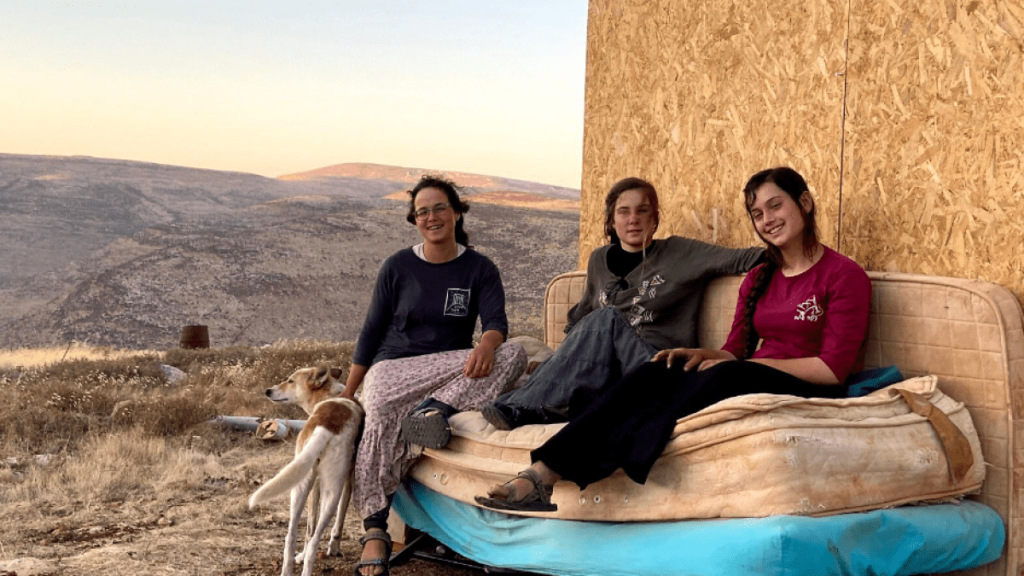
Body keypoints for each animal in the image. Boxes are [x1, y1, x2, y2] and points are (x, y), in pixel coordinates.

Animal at [249, 366, 364, 576]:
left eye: (290, 381)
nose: (267, 391)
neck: (329, 395)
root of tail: (325, 426)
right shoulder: (344, 483)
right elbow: (334, 522)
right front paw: (333, 549)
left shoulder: (320, 484)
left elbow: (311, 525)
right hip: (331, 491)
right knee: (315, 539)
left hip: (299, 487)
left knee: (292, 535)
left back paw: (288, 568)